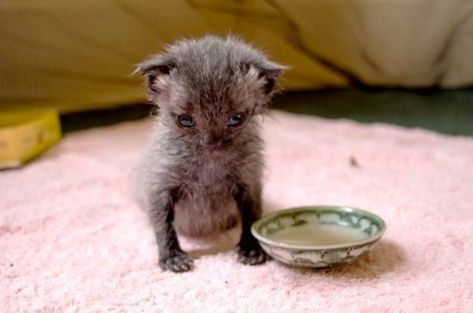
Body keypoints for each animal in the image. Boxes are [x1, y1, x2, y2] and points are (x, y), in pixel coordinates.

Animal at [133, 34, 284, 270]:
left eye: (236, 118)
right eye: (185, 120)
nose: (211, 144)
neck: (209, 164)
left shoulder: (250, 181)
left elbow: (252, 216)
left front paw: (251, 248)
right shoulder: (160, 184)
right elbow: (163, 223)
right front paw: (171, 256)